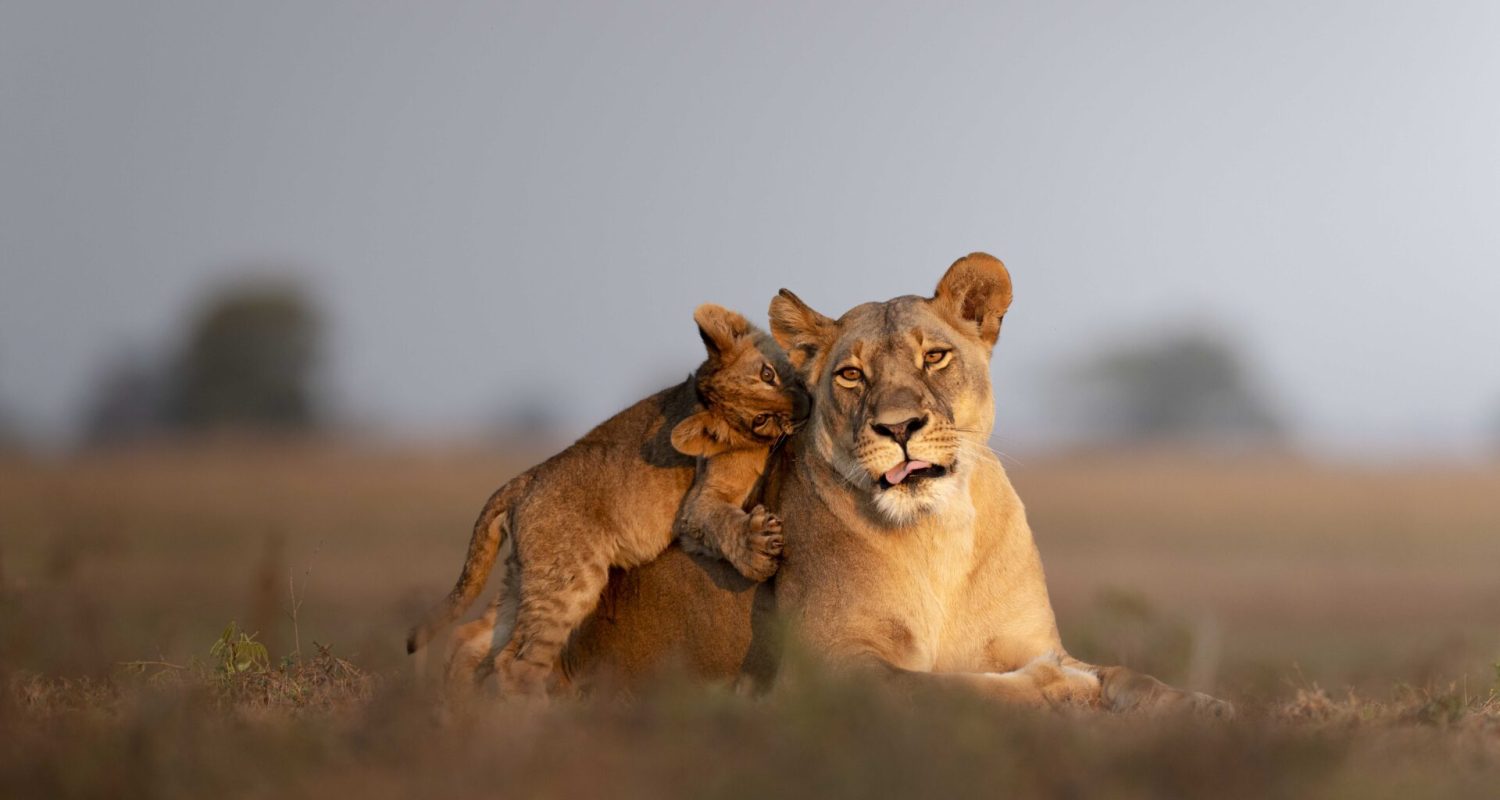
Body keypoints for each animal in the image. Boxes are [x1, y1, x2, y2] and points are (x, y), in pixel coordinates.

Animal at [405, 303, 809, 698]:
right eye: (760, 419)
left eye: (770, 373)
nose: (804, 408)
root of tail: (525, 480)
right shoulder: (695, 506)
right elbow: (716, 522)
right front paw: (759, 551)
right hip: (569, 582)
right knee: (516, 663)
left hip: (526, 578)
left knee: (470, 639)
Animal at [558, 254, 1232, 716]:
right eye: (852, 374)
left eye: (934, 356)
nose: (899, 427)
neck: (939, 534)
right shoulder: (826, 673)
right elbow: (953, 690)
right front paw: (1057, 690)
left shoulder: (1032, 639)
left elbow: (1131, 676)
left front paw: (1209, 707)